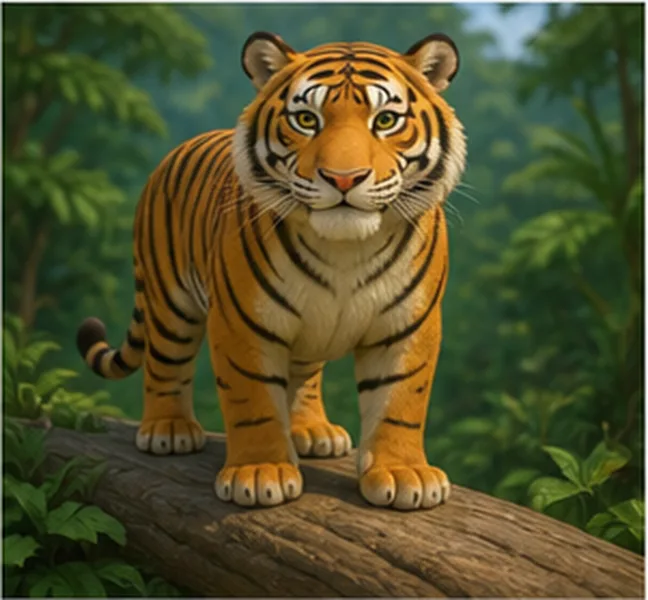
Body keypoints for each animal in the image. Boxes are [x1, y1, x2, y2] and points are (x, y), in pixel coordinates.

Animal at [76, 31, 466, 511]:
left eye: (387, 120)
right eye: (306, 119)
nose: (343, 179)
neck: (345, 249)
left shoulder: (408, 324)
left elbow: (400, 402)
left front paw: (403, 473)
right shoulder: (242, 321)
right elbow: (254, 400)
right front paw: (261, 473)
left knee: (304, 375)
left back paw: (312, 432)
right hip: (170, 300)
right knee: (164, 362)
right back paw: (168, 430)